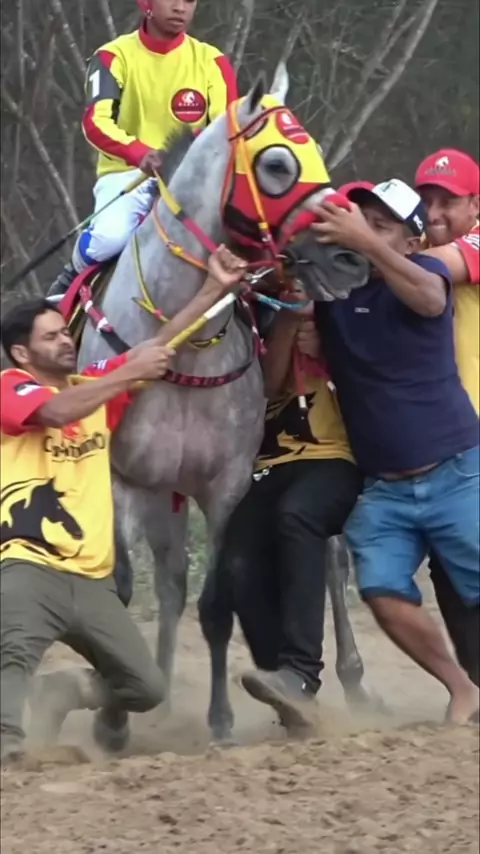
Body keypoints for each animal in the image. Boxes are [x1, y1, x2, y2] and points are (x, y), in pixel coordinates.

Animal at [76, 63, 378, 742]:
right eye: (277, 164)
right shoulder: (124, 477)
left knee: (330, 557)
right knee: (168, 581)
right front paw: (115, 718)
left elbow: (218, 604)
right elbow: (127, 589)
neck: (178, 342)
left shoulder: (227, 485)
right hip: (161, 491)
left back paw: (350, 679)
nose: (350, 257)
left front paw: (219, 721)